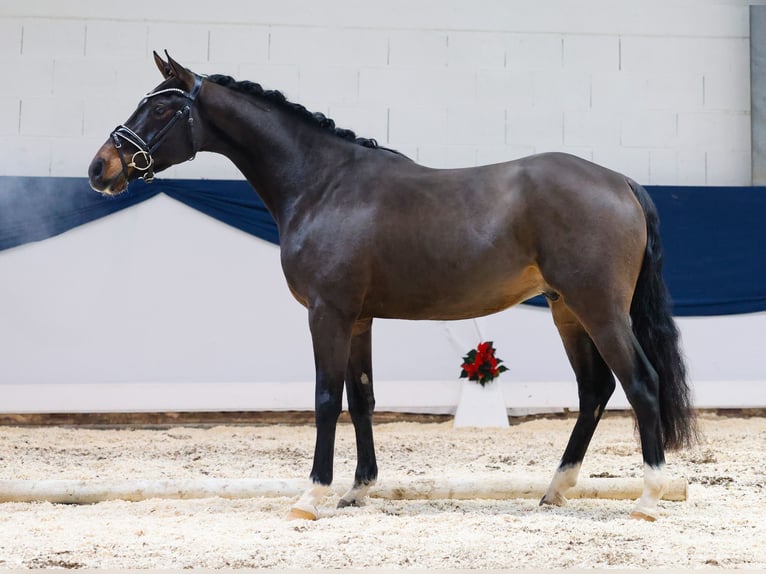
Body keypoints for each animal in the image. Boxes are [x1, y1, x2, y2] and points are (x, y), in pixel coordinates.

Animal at [87, 53, 700, 520]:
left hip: (600, 310)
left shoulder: (327, 313)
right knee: (595, 390)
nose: (101, 168)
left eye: (161, 107)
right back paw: (555, 490)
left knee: (640, 383)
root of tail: (620, 182)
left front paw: (310, 496)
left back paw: (648, 499)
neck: (323, 184)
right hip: (567, 311)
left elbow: (326, 397)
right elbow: (362, 399)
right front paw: (358, 490)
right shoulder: (358, 318)